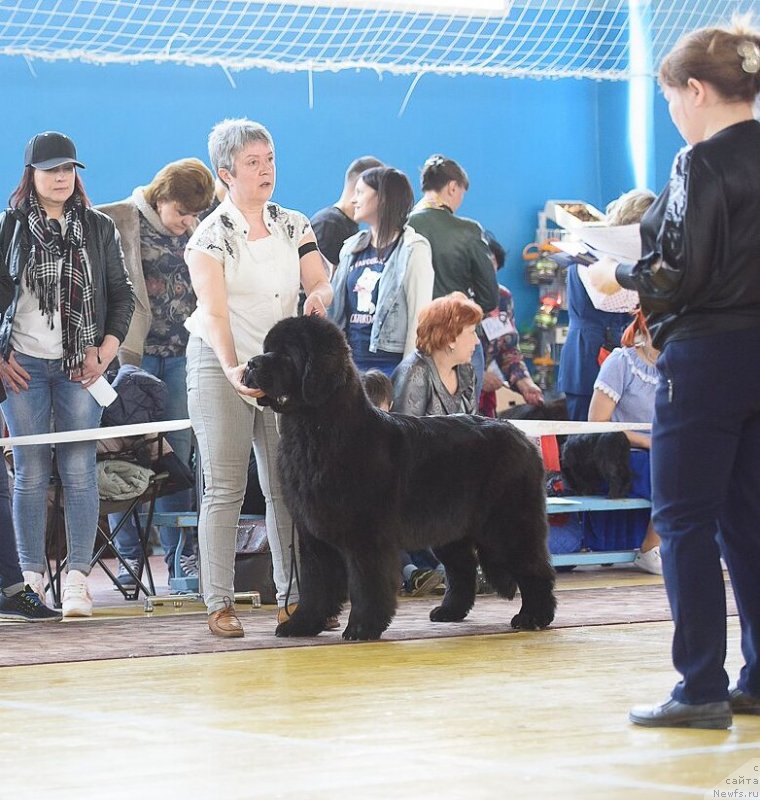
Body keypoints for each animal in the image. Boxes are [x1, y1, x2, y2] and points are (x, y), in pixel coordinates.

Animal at [246, 316, 556, 640]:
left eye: (286, 354)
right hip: (450, 526)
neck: (317, 430)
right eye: (267, 349)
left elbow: (366, 583)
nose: (251, 364)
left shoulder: (365, 534)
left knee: (533, 567)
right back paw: (450, 611)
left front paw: (362, 627)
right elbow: (315, 584)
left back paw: (534, 616)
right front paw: (302, 624)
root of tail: (523, 437)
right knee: (462, 568)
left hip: (507, 524)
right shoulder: (313, 533)